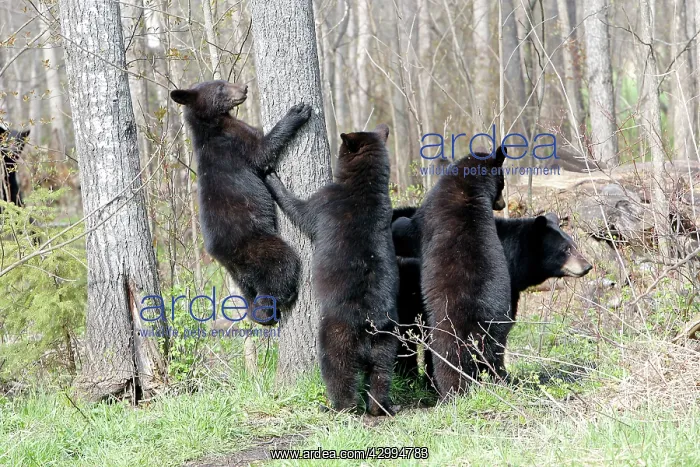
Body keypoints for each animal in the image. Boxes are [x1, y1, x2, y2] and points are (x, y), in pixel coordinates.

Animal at [170, 80, 311, 325]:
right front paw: (297, 112)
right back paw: (285, 296)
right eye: (220, 87)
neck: (212, 125)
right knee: (282, 263)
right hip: (258, 245)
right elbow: (262, 150)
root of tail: (224, 258)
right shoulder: (233, 143)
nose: (244, 88)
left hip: (240, 274)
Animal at [264, 124, 399, 416]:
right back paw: (380, 406)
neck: (366, 185)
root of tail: (370, 323)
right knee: (381, 374)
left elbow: (300, 210)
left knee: (338, 371)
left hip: (337, 334)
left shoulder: (326, 202)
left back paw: (338, 406)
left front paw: (270, 175)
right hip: (387, 339)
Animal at [412, 147, 509, 398]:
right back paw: (502, 381)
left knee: (448, 364)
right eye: (503, 182)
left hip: (447, 332)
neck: (469, 189)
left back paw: (451, 393)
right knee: (495, 360)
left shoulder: (431, 209)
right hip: (498, 332)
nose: (502, 204)